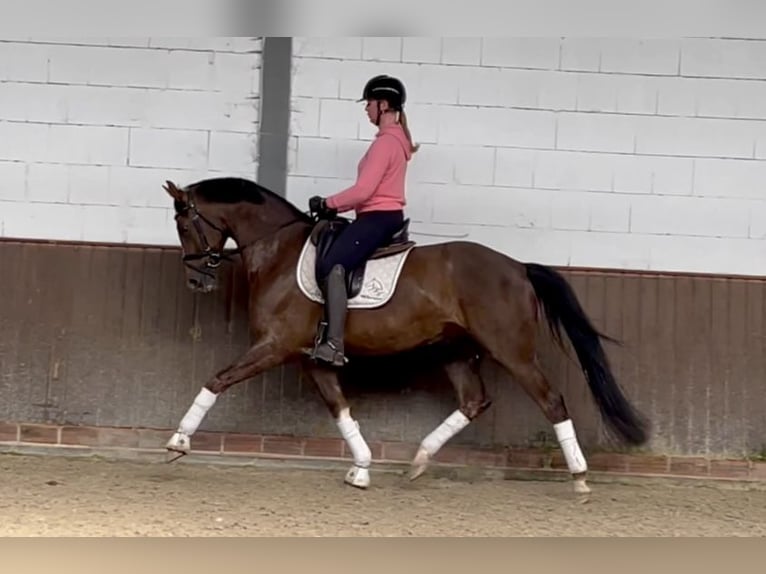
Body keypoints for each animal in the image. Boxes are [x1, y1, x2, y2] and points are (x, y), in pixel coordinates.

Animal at [160, 176, 648, 496]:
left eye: (184, 225)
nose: (196, 281)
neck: (278, 250)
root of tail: (518, 268)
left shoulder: (275, 346)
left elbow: (217, 380)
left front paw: (178, 443)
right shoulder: (310, 357)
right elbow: (341, 408)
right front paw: (361, 468)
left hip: (512, 350)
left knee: (552, 401)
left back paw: (580, 478)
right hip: (456, 351)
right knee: (473, 401)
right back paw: (418, 461)